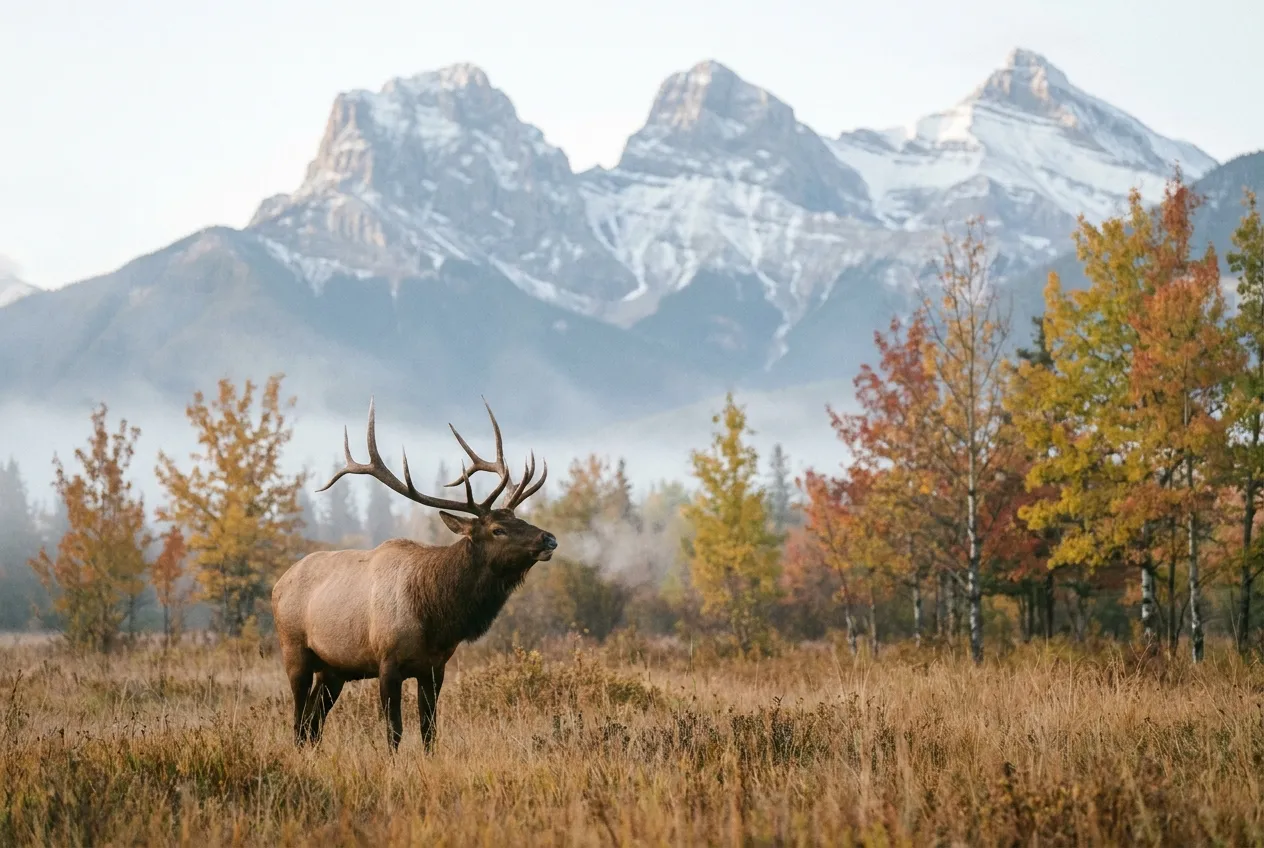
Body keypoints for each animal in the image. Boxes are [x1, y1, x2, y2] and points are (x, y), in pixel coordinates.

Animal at [270, 397, 555, 752]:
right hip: (294, 650)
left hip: (333, 669)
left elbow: (428, 729)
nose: (548, 538)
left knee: (313, 721)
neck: (435, 618)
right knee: (298, 720)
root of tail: (277, 585)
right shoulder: (387, 663)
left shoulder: (435, 668)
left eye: (518, 519)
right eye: (497, 529)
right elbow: (394, 730)